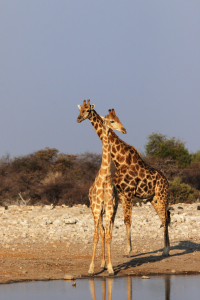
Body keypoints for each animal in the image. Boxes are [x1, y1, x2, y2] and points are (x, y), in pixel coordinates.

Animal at [76, 99, 170, 256]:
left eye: (87, 110)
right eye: (81, 109)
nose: (78, 118)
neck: (119, 160)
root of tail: (167, 181)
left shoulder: (129, 192)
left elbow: (127, 220)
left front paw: (128, 250)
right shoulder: (120, 193)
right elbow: (120, 221)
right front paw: (122, 250)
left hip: (162, 196)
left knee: (165, 218)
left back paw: (166, 250)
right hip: (153, 198)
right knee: (165, 217)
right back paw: (165, 248)